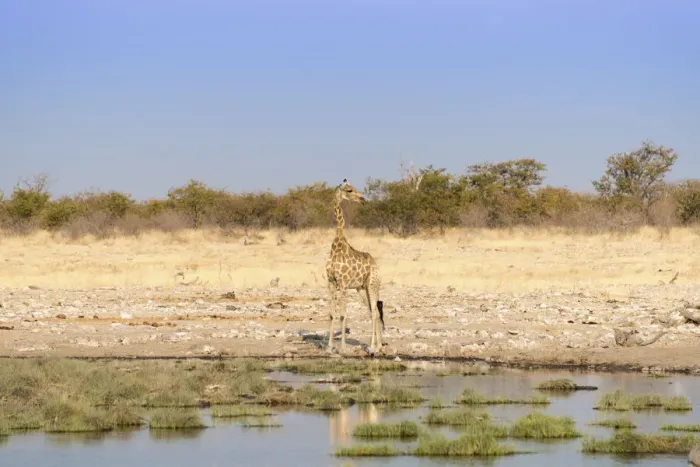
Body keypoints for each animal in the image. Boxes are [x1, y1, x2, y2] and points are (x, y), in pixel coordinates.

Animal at [325, 179, 385, 354]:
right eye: (350, 190)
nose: (363, 199)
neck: (336, 248)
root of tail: (377, 266)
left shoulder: (343, 284)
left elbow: (343, 315)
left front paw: (343, 348)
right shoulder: (331, 282)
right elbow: (332, 314)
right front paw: (329, 347)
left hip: (373, 284)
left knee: (375, 311)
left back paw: (373, 347)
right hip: (361, 288)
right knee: (373, 310)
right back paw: (378, 345)